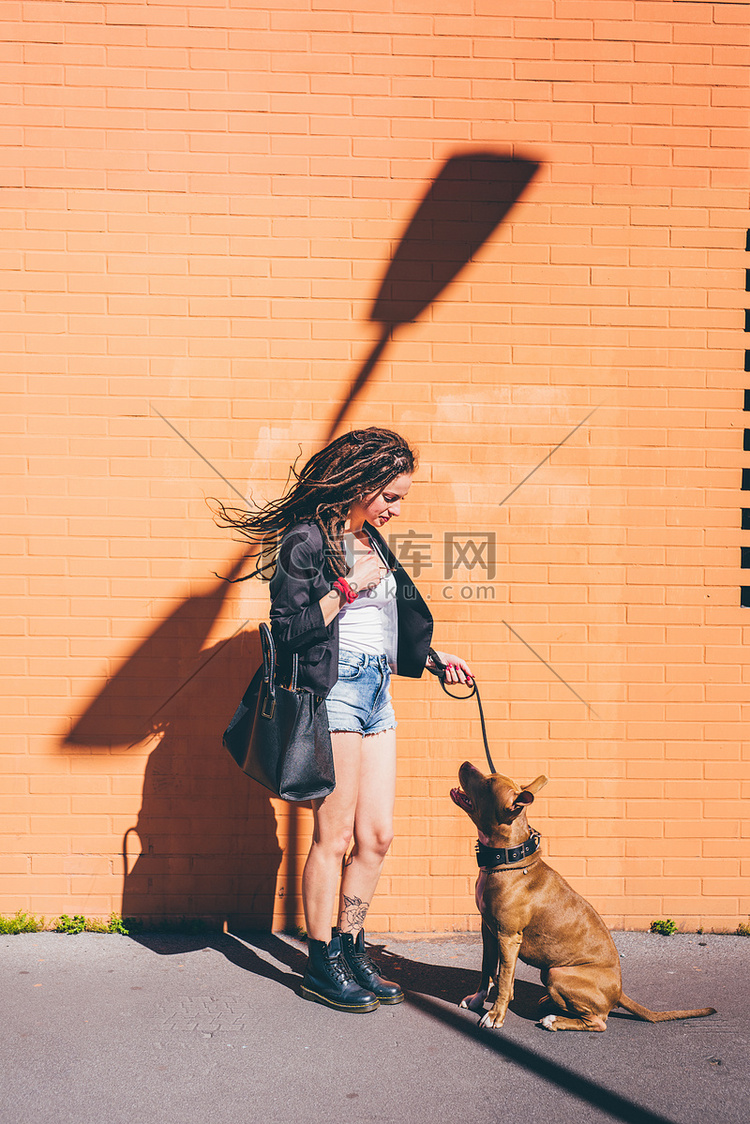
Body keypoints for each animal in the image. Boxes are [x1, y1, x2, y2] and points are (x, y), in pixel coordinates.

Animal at [449, 759, 719, 1029]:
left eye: (488, 784)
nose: (466, 762)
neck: (509, 859)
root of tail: (618, 992)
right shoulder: (489, 930)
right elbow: (487, 968)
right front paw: (477, 999)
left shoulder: (508, 936)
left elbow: (505, 978)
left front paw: (496, 1015)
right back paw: (549, 1002)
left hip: (557, 973)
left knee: (598, 1021)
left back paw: (554, 1020)